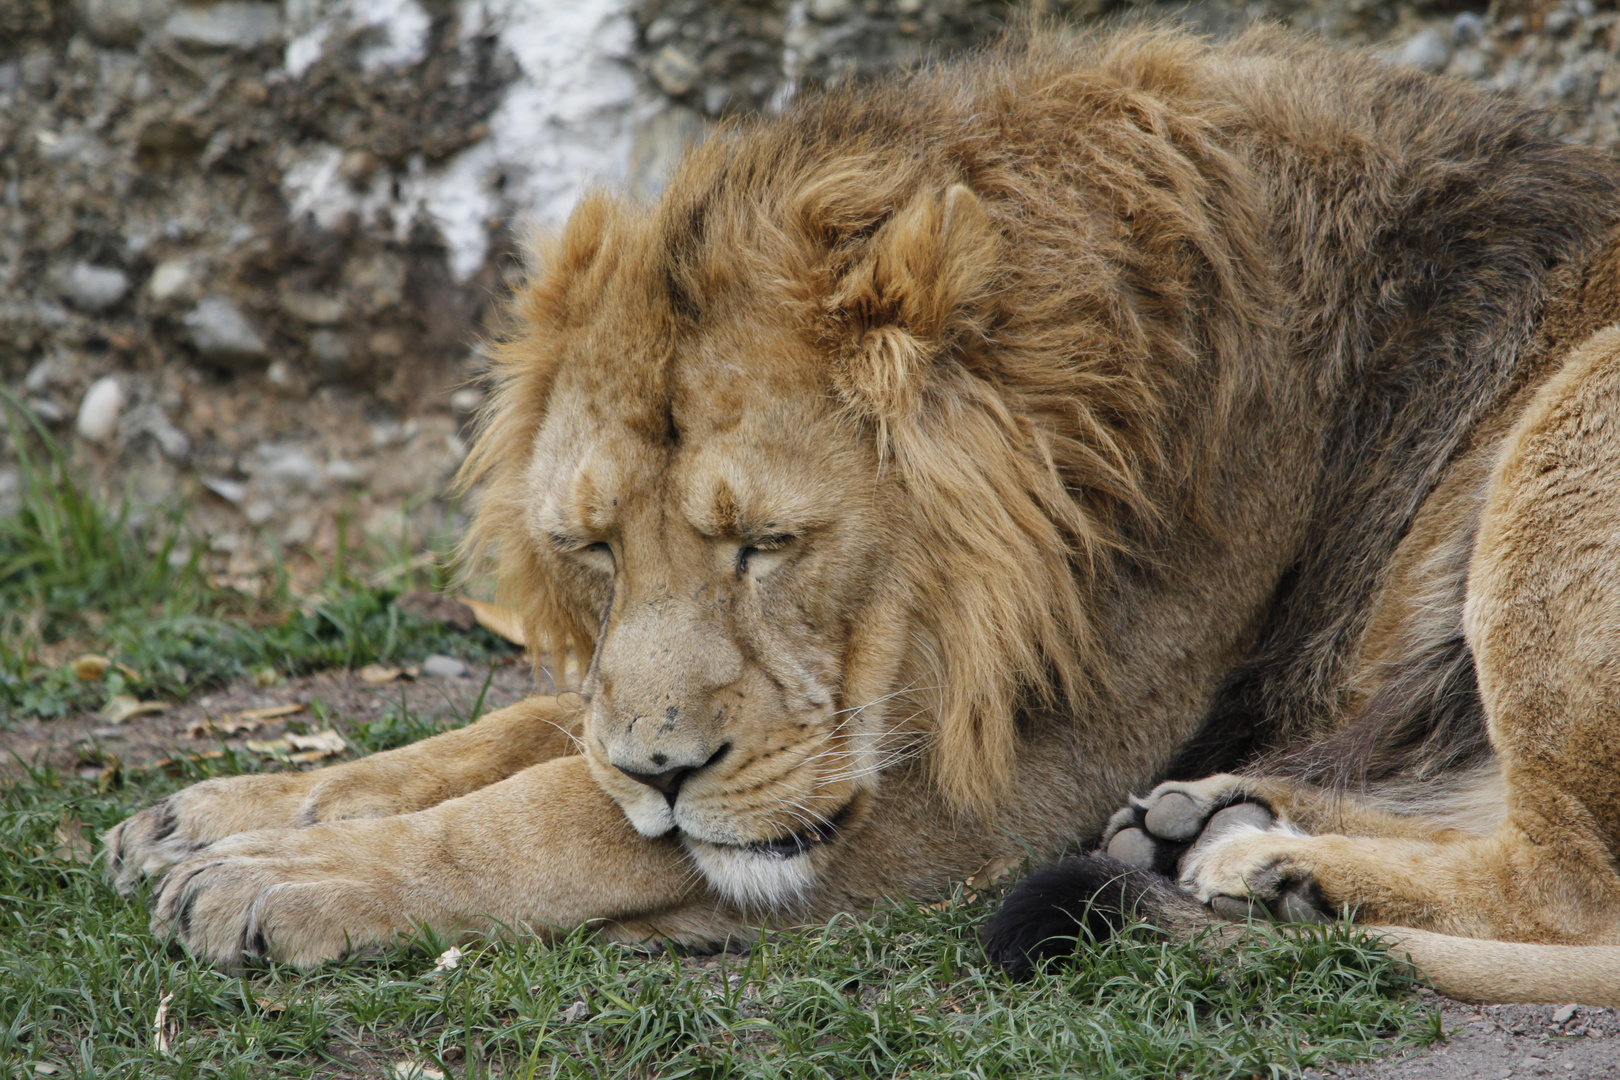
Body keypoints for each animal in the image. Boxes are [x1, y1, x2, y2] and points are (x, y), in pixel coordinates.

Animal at [107, 25, 1620, 1003]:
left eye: (767, 546)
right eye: (593, 550)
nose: (668, 771)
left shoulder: (1007, 787)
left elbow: (560, 811)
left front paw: (287, 879)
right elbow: (532, 726)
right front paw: (226, 811)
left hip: (1568, 426)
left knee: (1569, 880)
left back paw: (1276, 873)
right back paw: (1217, 829)